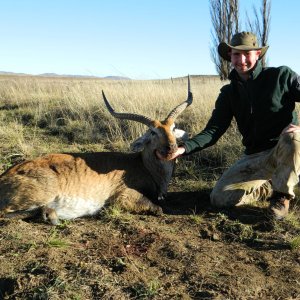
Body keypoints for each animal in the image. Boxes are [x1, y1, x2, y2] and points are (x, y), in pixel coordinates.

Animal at [0, 76, 192, 224]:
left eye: (173, 128)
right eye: (153, 132)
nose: (171, 147)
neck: (145, 166)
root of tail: (4, 176)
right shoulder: (123, 197)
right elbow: (158, 208)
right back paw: (51, 216)